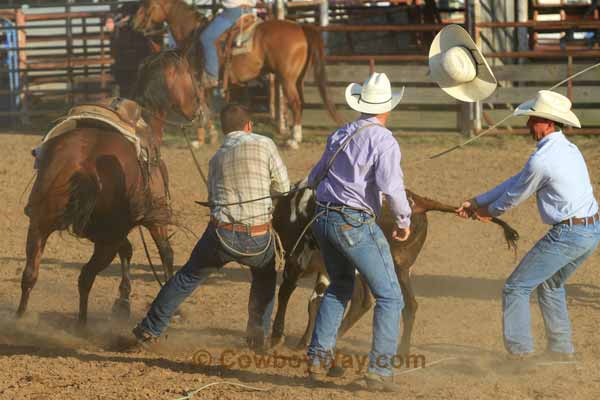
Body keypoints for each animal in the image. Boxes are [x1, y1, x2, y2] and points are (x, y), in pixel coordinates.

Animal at [19, 50, 202, 324]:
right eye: (191, 75)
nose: (199, 110)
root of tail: (83, 165)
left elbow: (129, 250)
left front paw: (123, 302)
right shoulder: (155, 217)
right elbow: (165, 252)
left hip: (41, 223)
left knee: (30, 274)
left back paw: (21, 318)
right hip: (105, 240)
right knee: (85, 277)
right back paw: (82, 325)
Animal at [134, 0, 344, 147]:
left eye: (147, 4)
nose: (134, 23)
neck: (191, 38)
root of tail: (300, 26)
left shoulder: (198, 82)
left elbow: (202, 107)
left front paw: (200, 140)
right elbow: (206, 108)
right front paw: (210, 137)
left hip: (286, 78)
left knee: (295, 103)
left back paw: (294, 140)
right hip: (297, 78)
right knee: (301, 103)